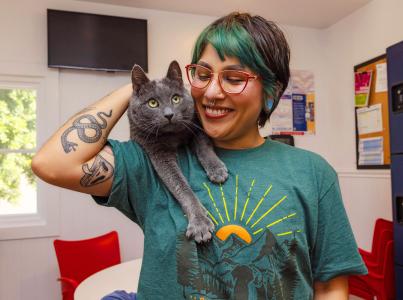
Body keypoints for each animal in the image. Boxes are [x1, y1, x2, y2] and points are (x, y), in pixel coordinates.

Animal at [128, 60, 229, 244]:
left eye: (175, 98)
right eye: (152, 103)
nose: (169, 114)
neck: (173, 136)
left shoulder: (196, 124)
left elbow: (203, 147)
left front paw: (217, 170)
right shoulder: (157, 151)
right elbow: (180, 186)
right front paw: (200, 224)